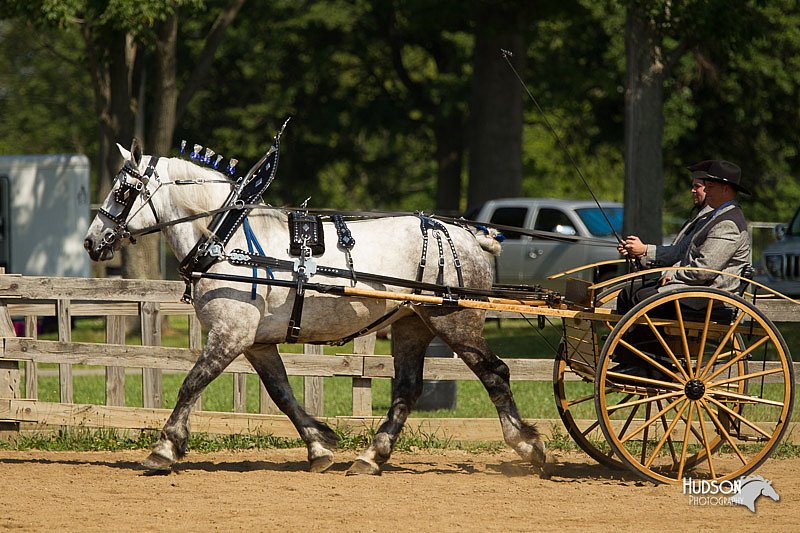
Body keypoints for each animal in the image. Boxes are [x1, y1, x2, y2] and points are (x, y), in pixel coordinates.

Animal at [83, 137, 552, 474]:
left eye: (123, 190)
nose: (91, 241)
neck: (227, 240)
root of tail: (470, 236)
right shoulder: (256, 342)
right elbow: (282, 393)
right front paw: (319, 446)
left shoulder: (230, 335)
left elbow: (191, 384)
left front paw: (164, 448)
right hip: (411, 325)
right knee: (407, 389)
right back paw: (371, 457)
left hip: (456, 321)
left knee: (495, 373)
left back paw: (527, 445)